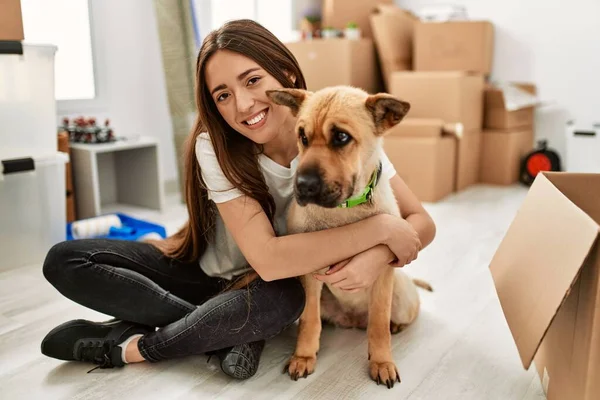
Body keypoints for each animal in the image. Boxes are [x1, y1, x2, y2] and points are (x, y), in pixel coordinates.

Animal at [268, 86, 432, 390]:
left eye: (341, 137)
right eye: (302, 137)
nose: (302, 186)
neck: (345, 209)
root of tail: (352, 320)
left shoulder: (382, 272)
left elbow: (378, 324)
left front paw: (382, 362)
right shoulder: (310, 274)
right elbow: (309, 321)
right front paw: (304, 356)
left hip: (401, 297)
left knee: (398, 316)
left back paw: (396, 325)